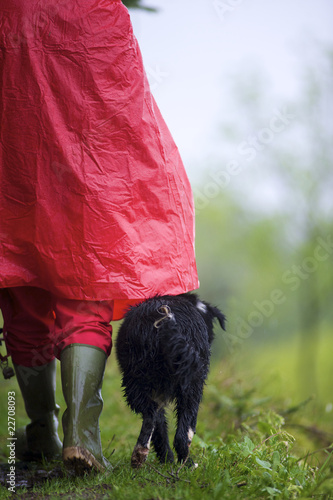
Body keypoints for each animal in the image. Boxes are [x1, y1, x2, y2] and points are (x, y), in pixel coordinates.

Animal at [115, 292, 226, 468]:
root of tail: (166, 320)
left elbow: (160, 426)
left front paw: (166, 459)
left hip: (137, 383)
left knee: (151, 415)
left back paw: (140, 454)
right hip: (192, 384)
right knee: (182, 433)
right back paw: (188, 463)